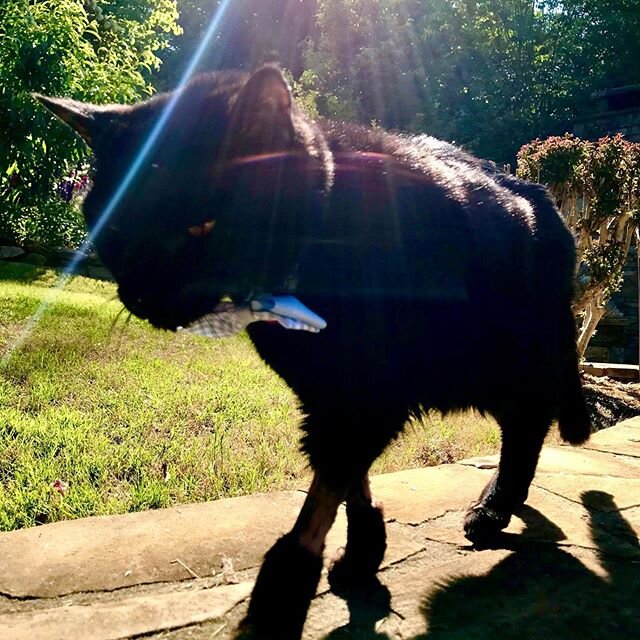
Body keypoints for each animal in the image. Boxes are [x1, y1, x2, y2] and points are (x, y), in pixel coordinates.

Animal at [37, 66, 592, 640]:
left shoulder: (368, 396)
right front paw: (365, 548)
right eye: (115, 228)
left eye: (201, 225)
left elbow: (325, 490)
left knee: (527, 429)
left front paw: (282, 592)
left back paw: (494, 508)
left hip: (507, 363)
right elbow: (349, 479)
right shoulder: (329, 397)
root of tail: (542, 196)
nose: (144, 295)